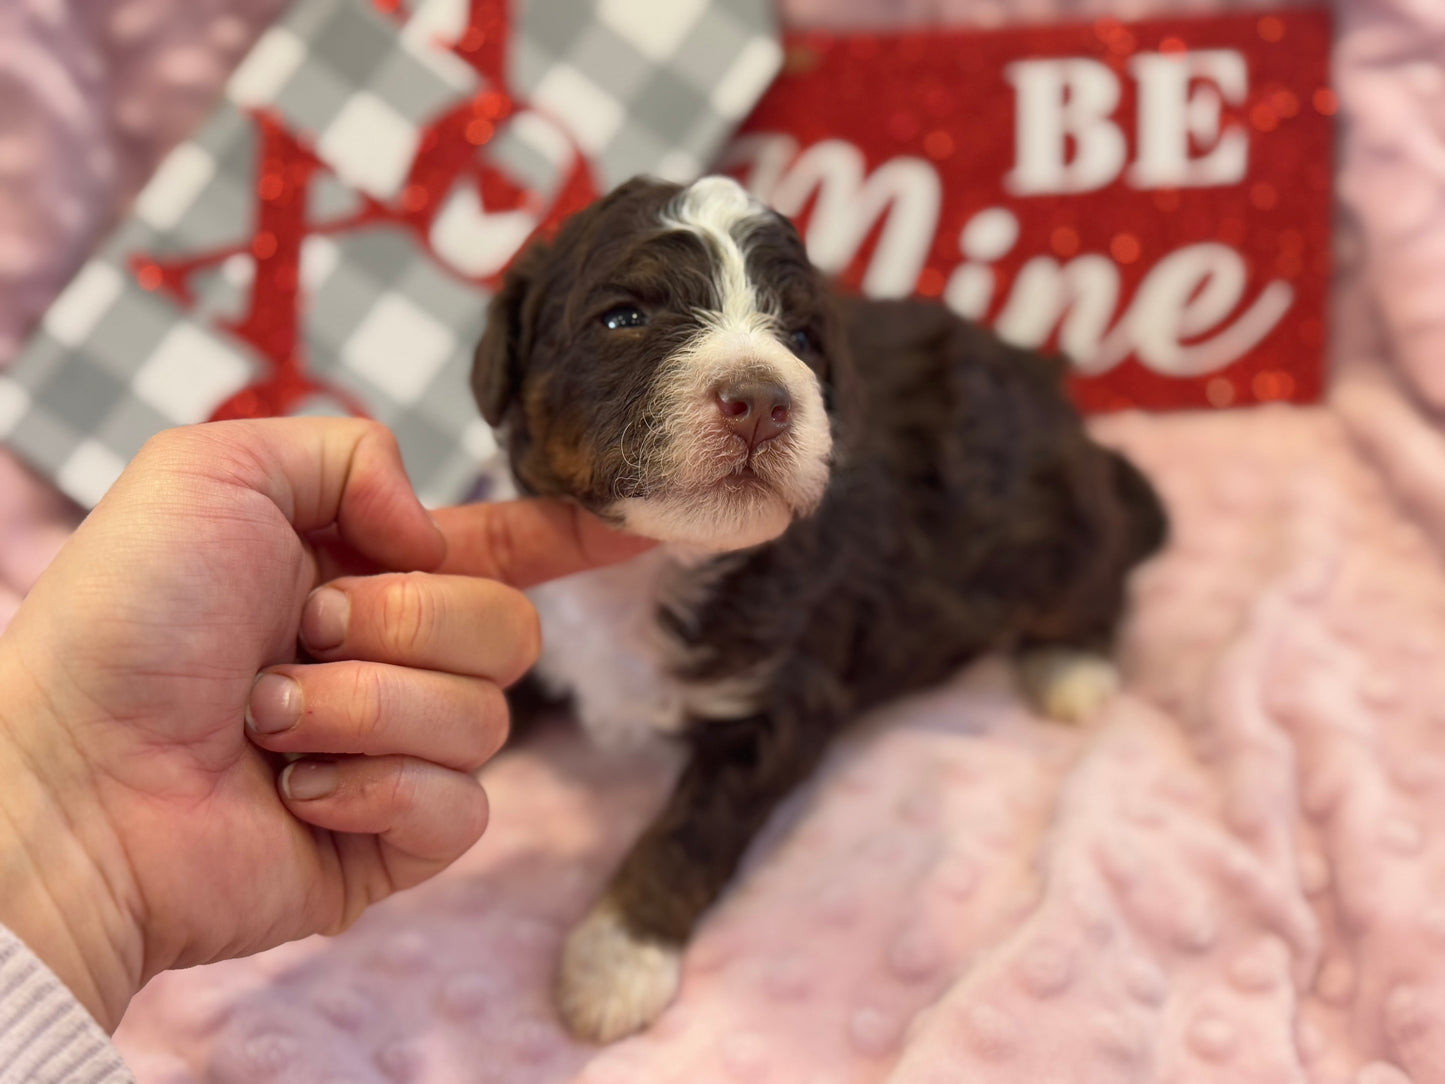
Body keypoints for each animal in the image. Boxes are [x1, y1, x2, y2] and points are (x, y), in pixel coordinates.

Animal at [468, 176, 1167, 1046]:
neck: (653, 563)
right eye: (623, 317)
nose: (761, 400)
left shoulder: (781, 700)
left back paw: (1070, 668)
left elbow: (689, 830)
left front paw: (615, 961)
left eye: (801, 337)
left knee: (1103, 567)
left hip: (1055, 525)